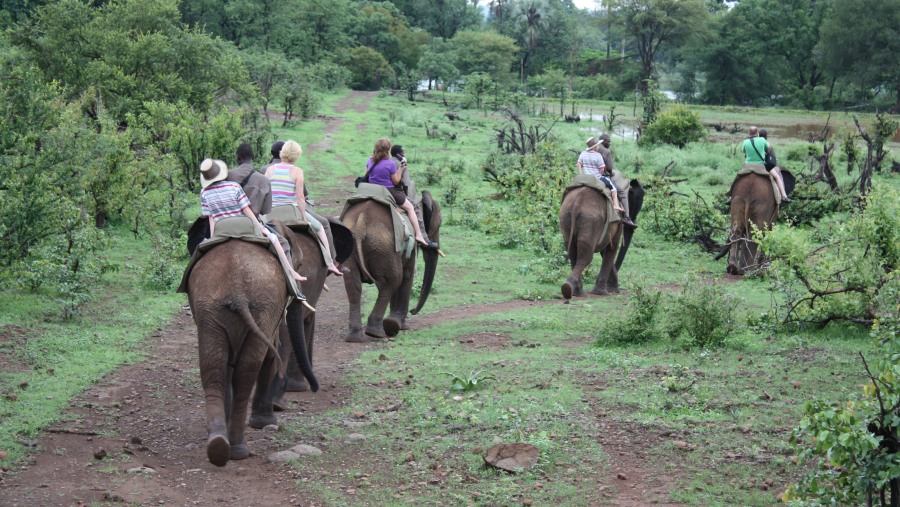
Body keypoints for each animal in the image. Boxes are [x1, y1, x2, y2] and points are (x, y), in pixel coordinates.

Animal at [185, 224, 318, 466]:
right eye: (298, 264)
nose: (314, 388)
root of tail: (236, 287)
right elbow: (271, 355)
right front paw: (266, 422)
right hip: (260, 308)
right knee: (247, 371)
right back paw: (236, 451)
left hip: (211, 308)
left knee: (214, 366)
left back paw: (218, 446)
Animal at [340, 192, 442, 344]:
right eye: (439, 225)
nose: (413, 311)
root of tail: (360, 224)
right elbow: (407, 275)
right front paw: (403, 325)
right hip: (384, 246)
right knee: (393, 280)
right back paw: (380, 330)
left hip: (352, 246)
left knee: (354, 285)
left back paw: (355, 337)